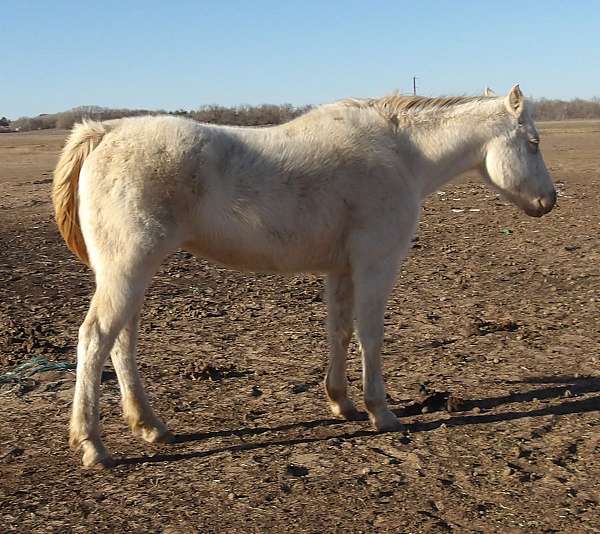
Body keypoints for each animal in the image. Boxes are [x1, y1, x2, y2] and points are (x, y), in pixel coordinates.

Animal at [54, 84, 556, 468]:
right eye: (533, 142)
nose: (549, 201)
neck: (401, 155)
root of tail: (105, 132)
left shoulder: (341, 269)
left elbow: (339, 330)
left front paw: (342, 401)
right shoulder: (376, 263)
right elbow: (370, 335)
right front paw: (381, 411)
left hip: (131, 274)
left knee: (122, 342)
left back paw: (150, 426)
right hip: (127, 270)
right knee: (96, 338)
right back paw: (93, 444)